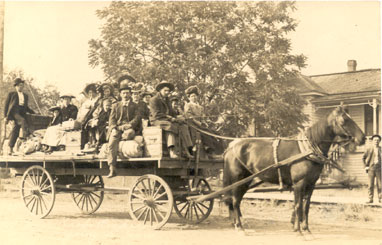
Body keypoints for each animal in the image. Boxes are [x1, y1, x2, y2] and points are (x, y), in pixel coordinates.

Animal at [222, 106, 366, 232]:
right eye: (344, 120)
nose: (363, 138)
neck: (307, 150)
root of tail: (231, 146)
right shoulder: (299, 183)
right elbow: (297, 205)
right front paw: (298, 230)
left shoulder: (311, 184)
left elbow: (306, 206)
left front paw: (306, 229)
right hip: (237, 179)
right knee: (234, 201)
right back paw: (239, 226)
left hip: (246, 181)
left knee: (237, 201)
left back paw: (238, 223)